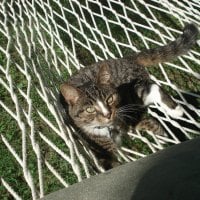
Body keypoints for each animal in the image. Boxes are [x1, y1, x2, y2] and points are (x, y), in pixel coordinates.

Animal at [60, 24, 198, 170]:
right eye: (89, 109)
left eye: (110, 99)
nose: (108, 114)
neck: (110, 129)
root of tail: (124, 59)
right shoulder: (100, 149)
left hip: (130, 94)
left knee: (150, 89)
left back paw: (175, 112)